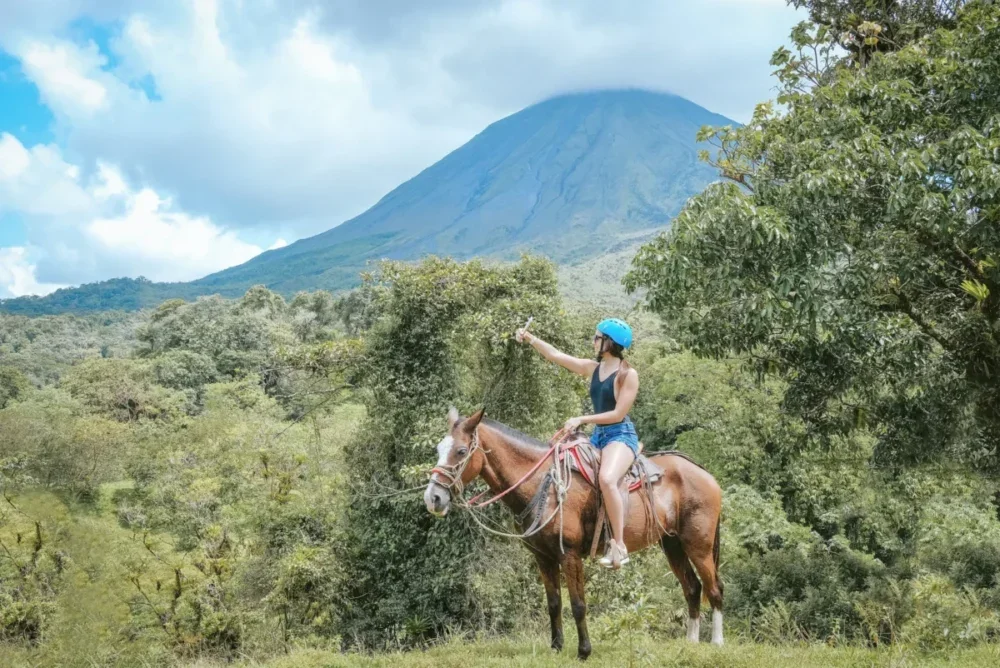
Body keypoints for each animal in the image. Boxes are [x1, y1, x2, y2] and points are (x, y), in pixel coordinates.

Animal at [424, 408, 728, 656]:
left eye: (461, 451)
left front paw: (584, 651)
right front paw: (556, 647)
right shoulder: (543, 557)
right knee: (692, 587)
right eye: (439, 449)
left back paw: (716, 642)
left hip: (698, 545)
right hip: (672, 544)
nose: (433, 498)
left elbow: (578, 604)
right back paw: (691, 643)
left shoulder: (569, 555)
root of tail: (705, 473)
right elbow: (554, 603)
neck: (543, 485)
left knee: (714, 588)